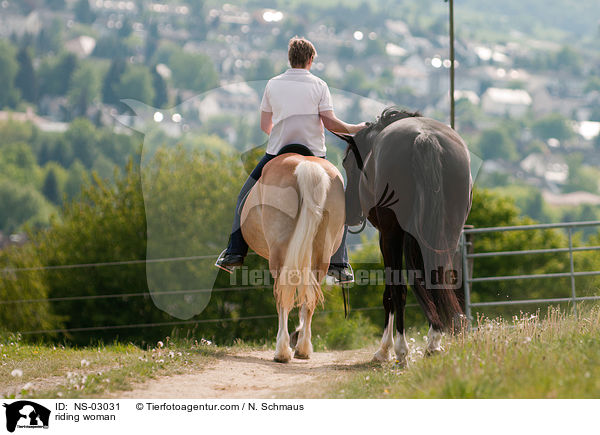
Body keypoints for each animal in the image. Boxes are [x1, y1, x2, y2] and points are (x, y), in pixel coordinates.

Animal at [238, 152, 342, 362]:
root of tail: (307, 165)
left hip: (280, 256)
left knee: (282, 298)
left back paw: (282, 350)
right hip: (320, 255)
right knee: (310, 300)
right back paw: (303, 347)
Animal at [336, 107, 472, 366]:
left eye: (346, 163)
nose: (349, 212)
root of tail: (425, 138)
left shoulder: (386, 237)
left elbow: (391, 292)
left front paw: (385, 350)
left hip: (393, 235)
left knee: (399, 289)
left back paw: (400, 350)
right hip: (448, 232)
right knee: (439, 278)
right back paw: (433, 343)